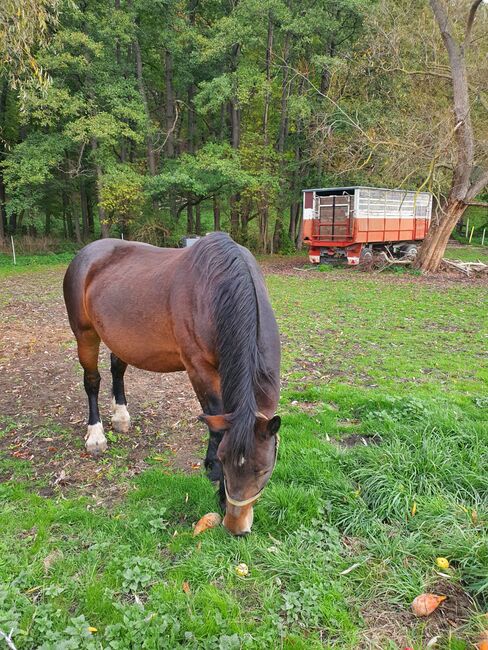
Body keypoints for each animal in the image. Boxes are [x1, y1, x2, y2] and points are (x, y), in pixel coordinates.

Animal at [63, 232, 280, 532]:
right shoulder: (199, 369)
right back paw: (96, 435)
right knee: (92, 381)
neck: (217, 290)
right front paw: (214, 478)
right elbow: (215, 420)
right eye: (225, 461)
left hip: (121, 339)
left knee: (117, 368)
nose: (235, 527)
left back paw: (121, 417)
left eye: (264, 470)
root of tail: (85, 254)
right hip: (85, 335)